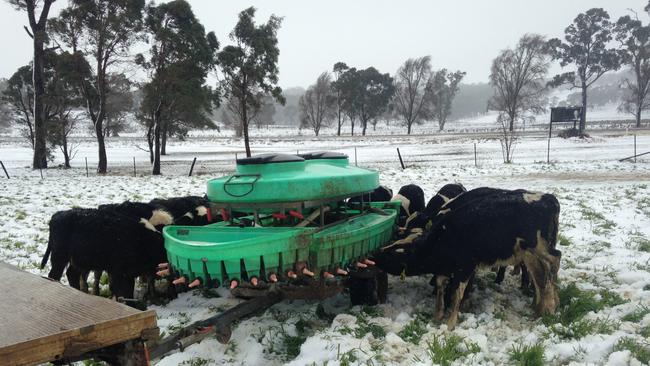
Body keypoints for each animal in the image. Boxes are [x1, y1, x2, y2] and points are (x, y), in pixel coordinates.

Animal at [372, 189, 560, 328]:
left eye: (395, 253)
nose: (376, 253)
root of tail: (548, 198)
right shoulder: (446, 268)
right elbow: (440, 286)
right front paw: (438, 315)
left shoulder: (466, 266)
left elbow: (457, 293)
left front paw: (451, 323)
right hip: (529, 254)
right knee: (539, 276)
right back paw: (538, 305)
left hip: (539, 247)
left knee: (554, 261)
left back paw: (551, 305)